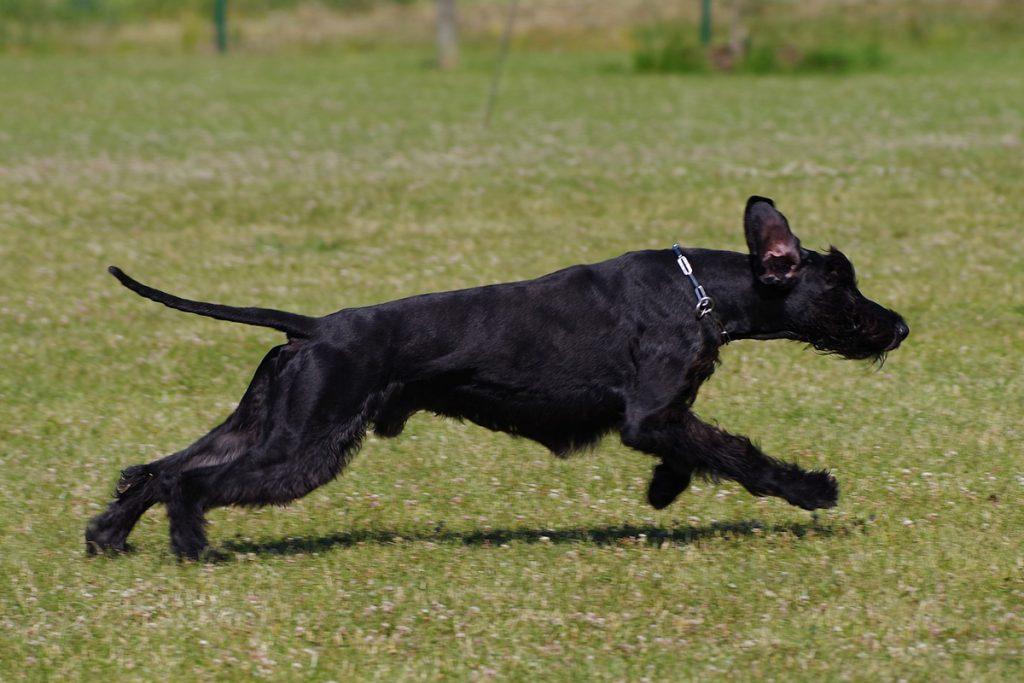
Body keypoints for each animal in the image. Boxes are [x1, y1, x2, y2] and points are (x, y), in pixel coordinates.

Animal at [83, 194, 909, 557]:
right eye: (842, 283)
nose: (898, 325)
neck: (703, 292)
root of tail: (313, 328)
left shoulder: (665, 416)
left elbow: (695, 452)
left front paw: (663, 490)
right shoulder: (654, 413)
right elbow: (738, 453)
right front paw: (813, 488)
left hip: (268, 421)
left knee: (159, 468)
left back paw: (108, 537)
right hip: (302, 444)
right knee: (192, 480)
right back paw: (192, 545)